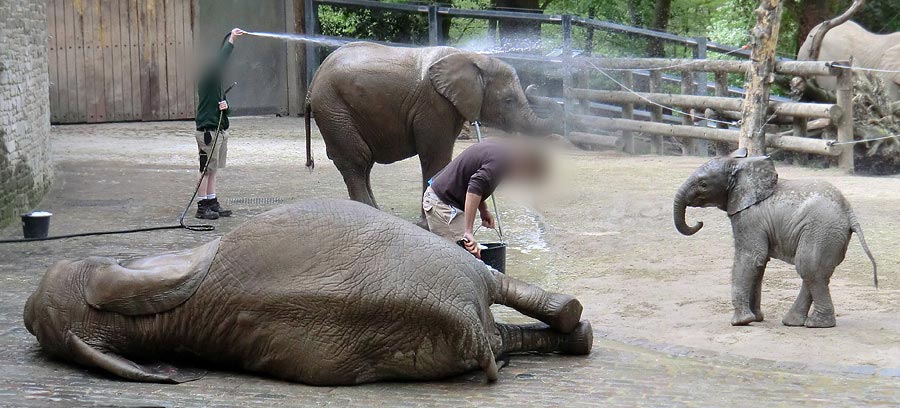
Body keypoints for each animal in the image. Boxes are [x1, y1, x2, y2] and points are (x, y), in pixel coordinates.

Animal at [306, 41, 568, 214]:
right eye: (508, 101)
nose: (535, 87)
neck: (471, 57)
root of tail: (313, 82)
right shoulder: (434, 104)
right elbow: (435, 155)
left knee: (364, 162)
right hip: (333, 108)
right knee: (356, 160)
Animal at [672, 150, 876, 328]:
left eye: (703, 184)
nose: (699, 222)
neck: (740, 165)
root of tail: (848, 211)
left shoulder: (749, 217)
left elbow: (751, 257)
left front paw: (741, 322)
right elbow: (759, 263)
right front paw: (756, 318)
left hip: (821, 230)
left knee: (808, 268)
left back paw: (817, 325)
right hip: (830, 234)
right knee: (815, 272)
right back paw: (794, 322)